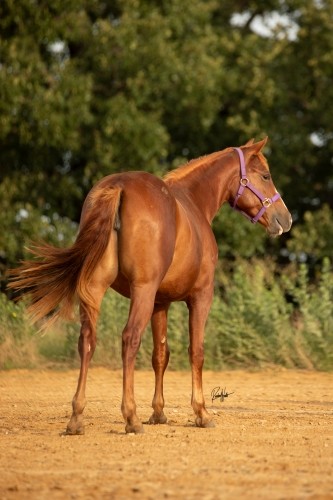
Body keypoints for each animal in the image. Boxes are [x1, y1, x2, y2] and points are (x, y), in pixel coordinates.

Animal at [8, 138, 290, 434]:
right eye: (266, 176)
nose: (285, 219)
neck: (194, 203)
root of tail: (118, 187)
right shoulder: (200, 297)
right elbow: (196, 352)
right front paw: (201, 413)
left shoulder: (160, 303)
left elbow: (160, 355)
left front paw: (158, 413)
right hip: (141, 291)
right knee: (129, 339)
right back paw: (130, 417)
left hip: (95, 289)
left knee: (87, 340)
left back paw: (76, 418)